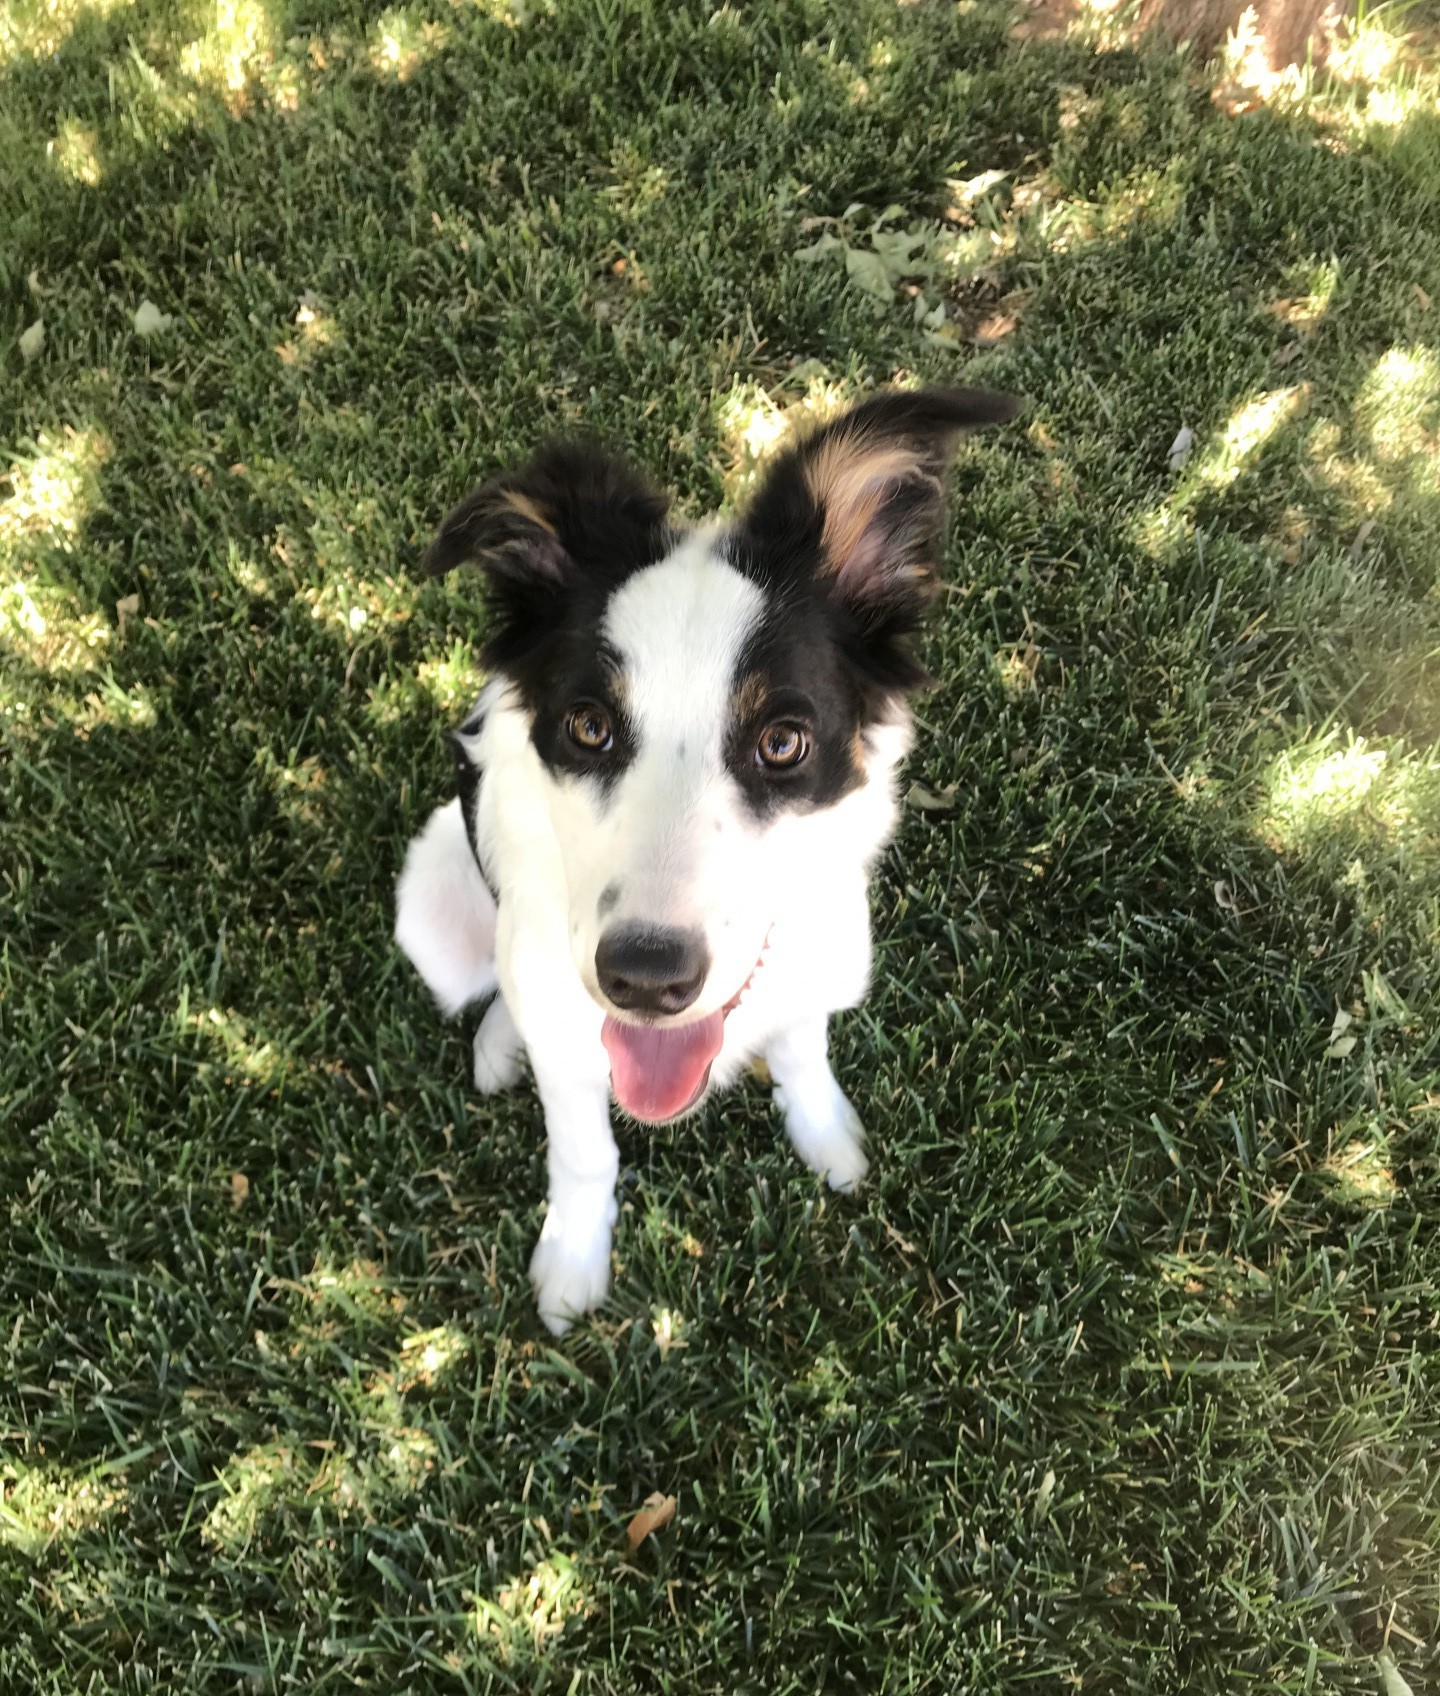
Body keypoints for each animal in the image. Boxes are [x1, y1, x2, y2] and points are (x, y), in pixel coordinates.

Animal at [393, 390, 1017, 1329]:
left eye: (783, 742)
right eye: (588, 726)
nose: (646, 981)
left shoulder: (816, 965)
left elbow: (801, 1050)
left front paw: (826, 1136)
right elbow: (584, 1148)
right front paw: (573, 1261)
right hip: (431, 899)